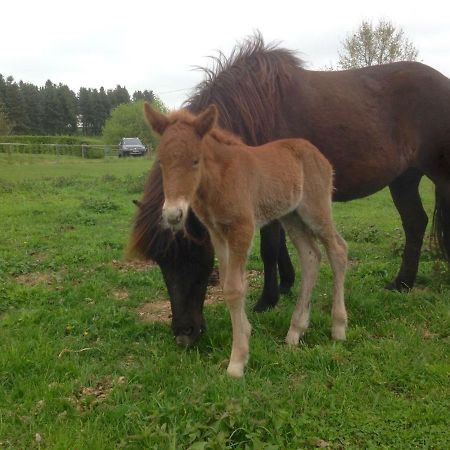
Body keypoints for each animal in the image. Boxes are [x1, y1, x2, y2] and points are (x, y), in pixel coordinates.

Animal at [127, 33, 450, 346]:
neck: (255, 110)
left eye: (194, 254)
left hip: (439, 176)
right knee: (415, 222)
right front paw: (286, 284)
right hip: (404, 179)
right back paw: (402, 283)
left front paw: (267, 299)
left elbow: (269, 248)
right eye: (161, 262)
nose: (184, 334)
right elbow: (282, 246)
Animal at [144, 102, 348, 376]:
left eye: (195, 160)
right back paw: (295, 331)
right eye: (162, 163)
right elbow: (230, 284)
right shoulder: (218, 233)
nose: (173, 214)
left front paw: (237, 361)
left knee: (337, 249)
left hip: (315, 210)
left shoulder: (243, 229)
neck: (220, 179)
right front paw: (246, 337)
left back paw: (338, 327)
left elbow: (234, 288)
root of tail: (319, 155)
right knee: (311, 257)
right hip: (291, 216)